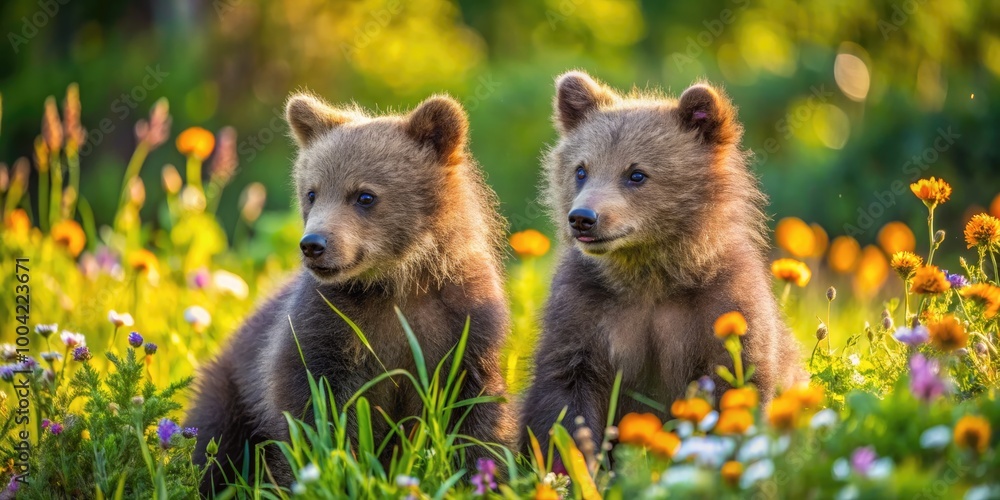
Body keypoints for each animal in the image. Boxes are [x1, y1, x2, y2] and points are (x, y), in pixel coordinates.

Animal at [186, 92, 514, 495]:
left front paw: (482, 477)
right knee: (214, 444)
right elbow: (313, 411)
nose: (313, 244)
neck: (395, 283)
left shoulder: (462, 324)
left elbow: (473, 413)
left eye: (364, 195)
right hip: (231, 391)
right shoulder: (327, 325)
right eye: (312, 192)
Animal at [519, 70, 806, 454]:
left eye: (636, 173)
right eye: (581, 170)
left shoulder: (721, 304)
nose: (583, 218)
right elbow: (565, 395)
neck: (650, 275)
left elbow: (739, 378)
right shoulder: (584, 308)